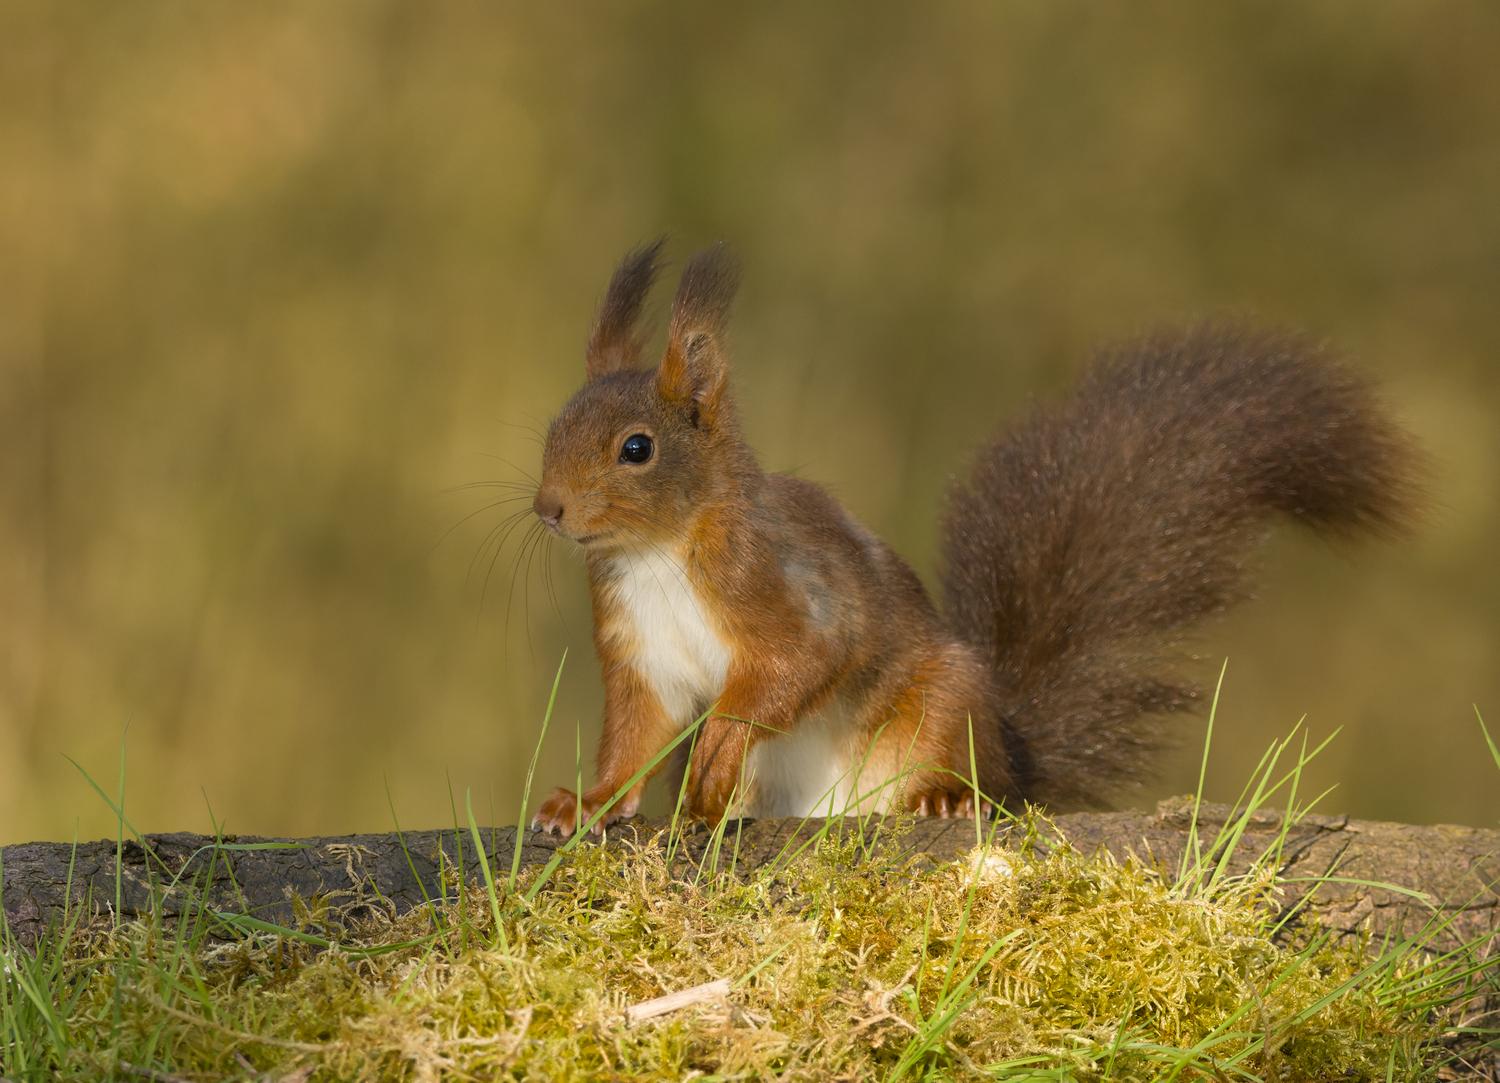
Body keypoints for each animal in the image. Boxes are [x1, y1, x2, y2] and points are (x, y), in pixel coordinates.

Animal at [534, 240, 1422, 834]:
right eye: (555, 426)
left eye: (637, 448)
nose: (548, 509)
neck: (657, 552)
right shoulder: (640, 649)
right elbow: (636, 736)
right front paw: (585, 803)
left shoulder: (782, 582)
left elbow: (808, 659)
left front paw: (725, 739)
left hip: (948, 697)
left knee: (970, 772)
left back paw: (944, 795)